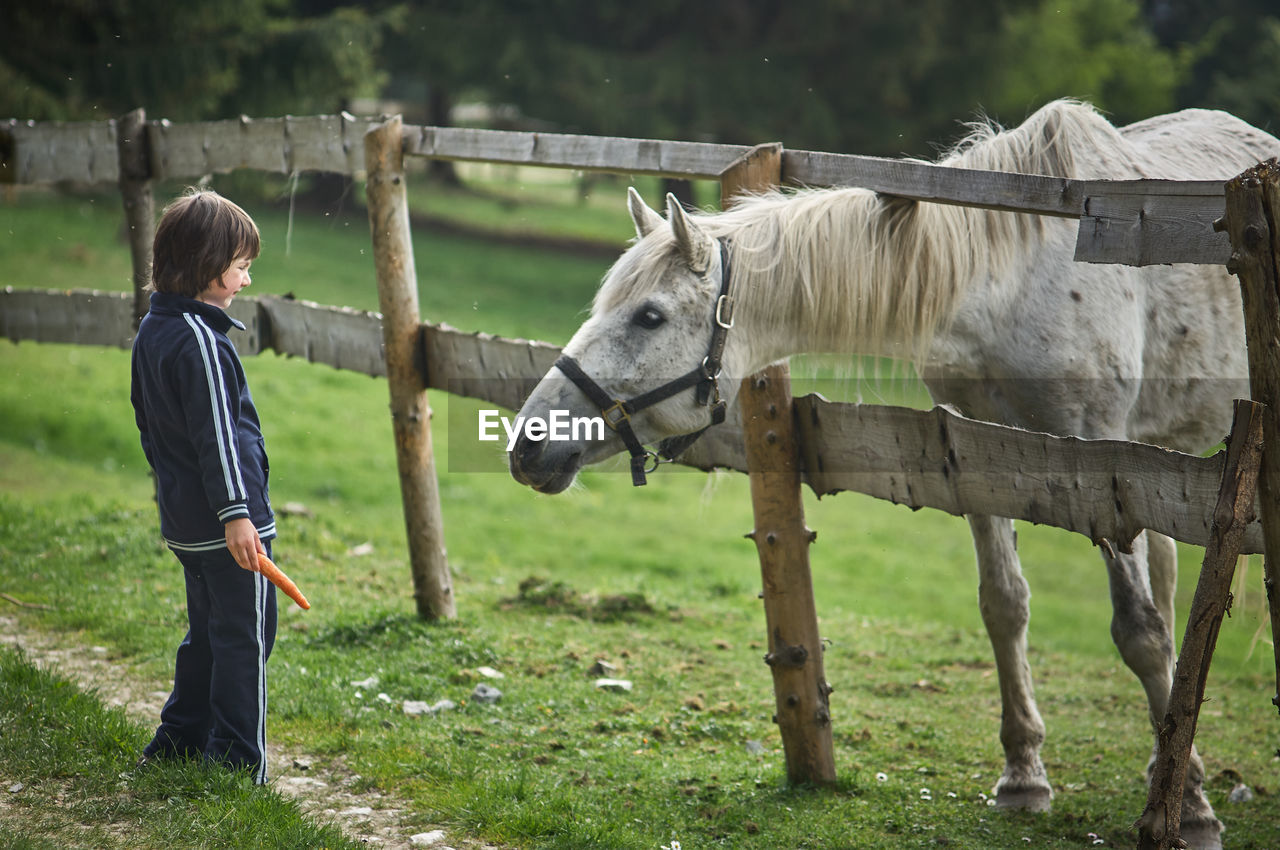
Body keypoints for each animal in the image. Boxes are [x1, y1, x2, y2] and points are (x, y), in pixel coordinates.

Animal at [509, 97, 1280, 844]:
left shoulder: (1103, 470)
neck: (1011, 276)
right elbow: (1005, 605)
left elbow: (1140, 633)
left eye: (649, 316)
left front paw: (1191, 809)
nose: (527, 445)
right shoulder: (981, 456)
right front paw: (1024, 778)